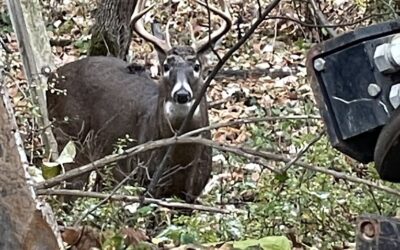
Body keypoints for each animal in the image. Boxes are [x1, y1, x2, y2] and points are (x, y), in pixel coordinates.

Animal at [47, 0, 231, 202]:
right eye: (166, 66)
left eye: (197, 66)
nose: (182, 94)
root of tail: (52, 79)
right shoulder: (145, 181)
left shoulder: (193, 192)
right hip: (68, 137)